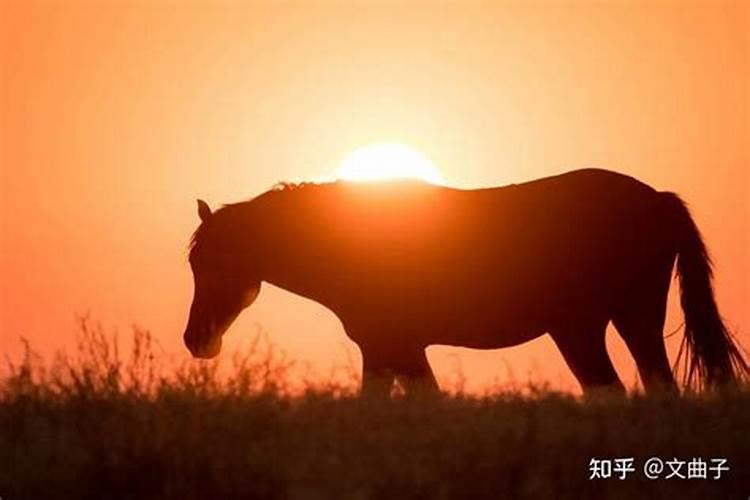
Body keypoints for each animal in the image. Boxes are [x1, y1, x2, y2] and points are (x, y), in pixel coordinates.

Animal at [181, 170, 748, 396]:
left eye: (212, 264)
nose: (196, 341)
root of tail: (657, 198)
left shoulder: (400, 349)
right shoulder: (386, 351)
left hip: (591, 328)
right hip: (621, 325)